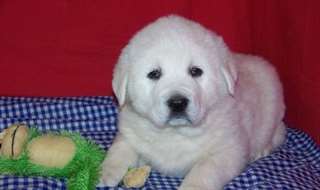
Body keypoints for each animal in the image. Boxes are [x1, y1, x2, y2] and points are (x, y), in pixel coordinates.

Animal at [100, 15, 284, 190]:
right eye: (154, 74)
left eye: (195, 71)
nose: (177, 102)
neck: (175, 132)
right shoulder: (129, 132)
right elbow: (120, 148)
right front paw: (105, 172)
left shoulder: (227, 151)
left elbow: (205, 170)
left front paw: (192, 186)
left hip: (272, 112)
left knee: (278, 133)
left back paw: (261, 150)